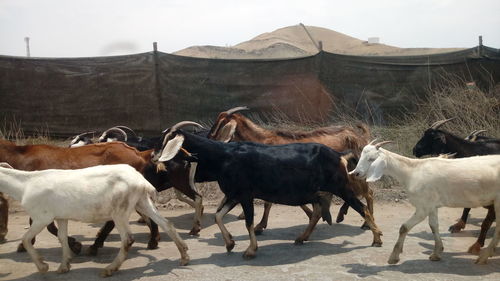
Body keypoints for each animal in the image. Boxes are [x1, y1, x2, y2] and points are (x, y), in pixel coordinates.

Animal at [0, 162, 190, 276]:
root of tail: (141, 180)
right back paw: (184, 256)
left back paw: (110, 269)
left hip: (120, 210)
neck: (25, 185)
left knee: (128, 239)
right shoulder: (61, 216)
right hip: (142, 202)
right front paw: (64, 266)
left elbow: (26, 239)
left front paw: (43, 266)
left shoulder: (42, 217)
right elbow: (62, 238)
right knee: (166, 224)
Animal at [152, 120, 382, 258]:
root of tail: (339, 155)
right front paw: (230, 243)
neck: (224, 156)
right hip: (317, 191)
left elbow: (248, 223)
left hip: (341, 187)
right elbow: (218, 215)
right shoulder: (234, 194)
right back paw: (301, 238)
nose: (153, 158)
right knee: (318, 211)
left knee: (363, 207)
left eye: (166, 140)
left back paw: (377, 238)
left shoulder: (245, 195)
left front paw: (250, 250)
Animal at [207, 105, 376, 232]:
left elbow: (268, 202)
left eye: (219, 124)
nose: (208, 138)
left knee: (368, 193)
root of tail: (358, 136)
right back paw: (344, 215)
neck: (263, 140)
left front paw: (260, 226)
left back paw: (365, 223)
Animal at [348, 141, 500, 264]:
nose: (356, 173)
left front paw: (394, 257)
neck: (411, 172)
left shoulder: (423, 207)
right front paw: (436, 253)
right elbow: (434, 226)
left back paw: (483, 257)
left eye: (371, 159)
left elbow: (404, 227)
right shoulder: (432, 205)